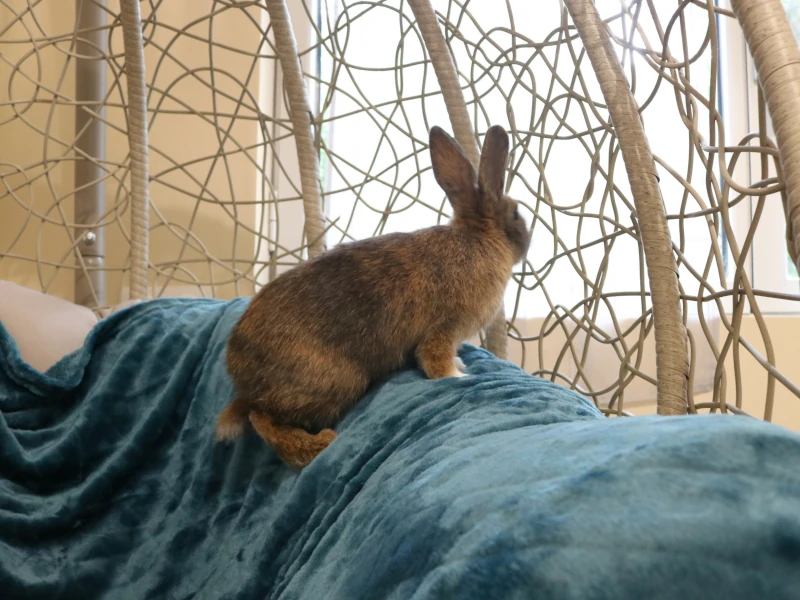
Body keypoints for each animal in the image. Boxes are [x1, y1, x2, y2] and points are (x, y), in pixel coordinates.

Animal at [216, 125, 531, 468]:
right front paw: (458, 376)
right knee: (262, 418)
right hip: (336, 381)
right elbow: (435, 360)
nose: (528, 239)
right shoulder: (444, 329)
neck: (480, 238)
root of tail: (244, 380)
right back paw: (316, 445)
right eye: (516, 213)